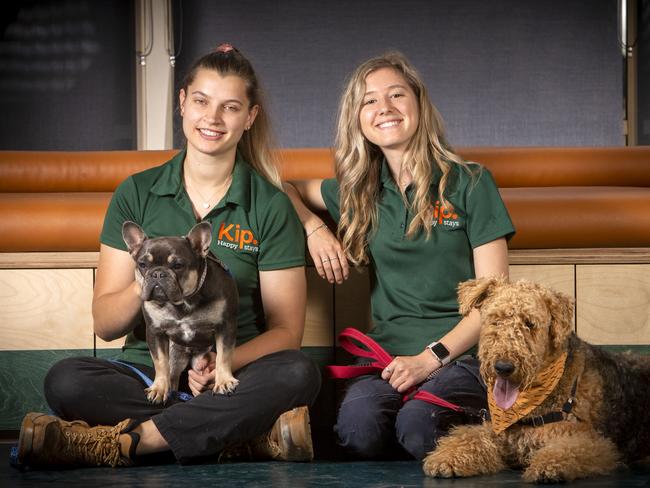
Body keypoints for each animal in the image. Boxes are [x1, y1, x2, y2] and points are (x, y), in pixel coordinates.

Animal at [420, 276, 648, 482]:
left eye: (530, 324)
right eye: (495, 320)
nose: (503, 367)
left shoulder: (592, 442)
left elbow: (567, 450)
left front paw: (548, 466)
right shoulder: (498, 433)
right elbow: (470, 436)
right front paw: (446, 458)